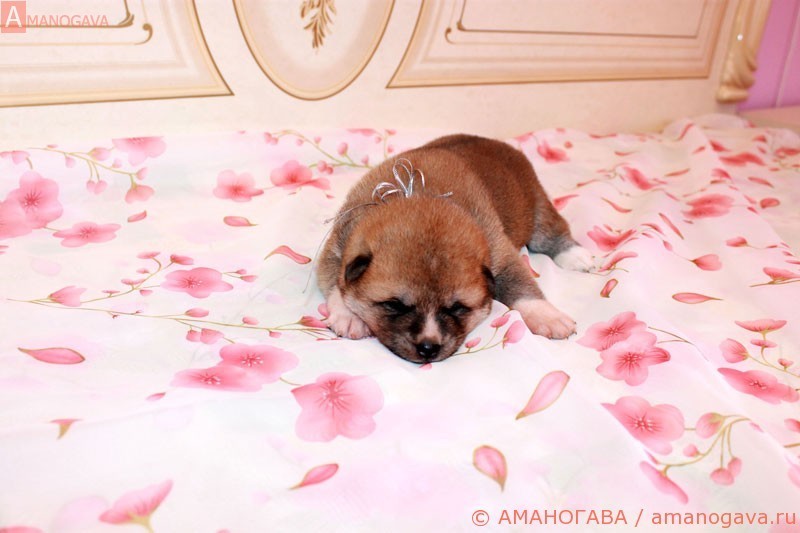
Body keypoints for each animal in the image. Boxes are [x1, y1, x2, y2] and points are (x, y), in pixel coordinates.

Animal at [317, 134, 593, 363]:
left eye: (457, 308)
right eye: (395, 305)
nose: (428, 348)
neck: (416, 195)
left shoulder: (501, 255)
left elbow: (522, 285)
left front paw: (547, 316)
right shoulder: (336, 247)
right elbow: (334, 282)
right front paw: (349, 316)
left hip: (537, 206)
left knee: (553, 234)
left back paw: (577, 256)